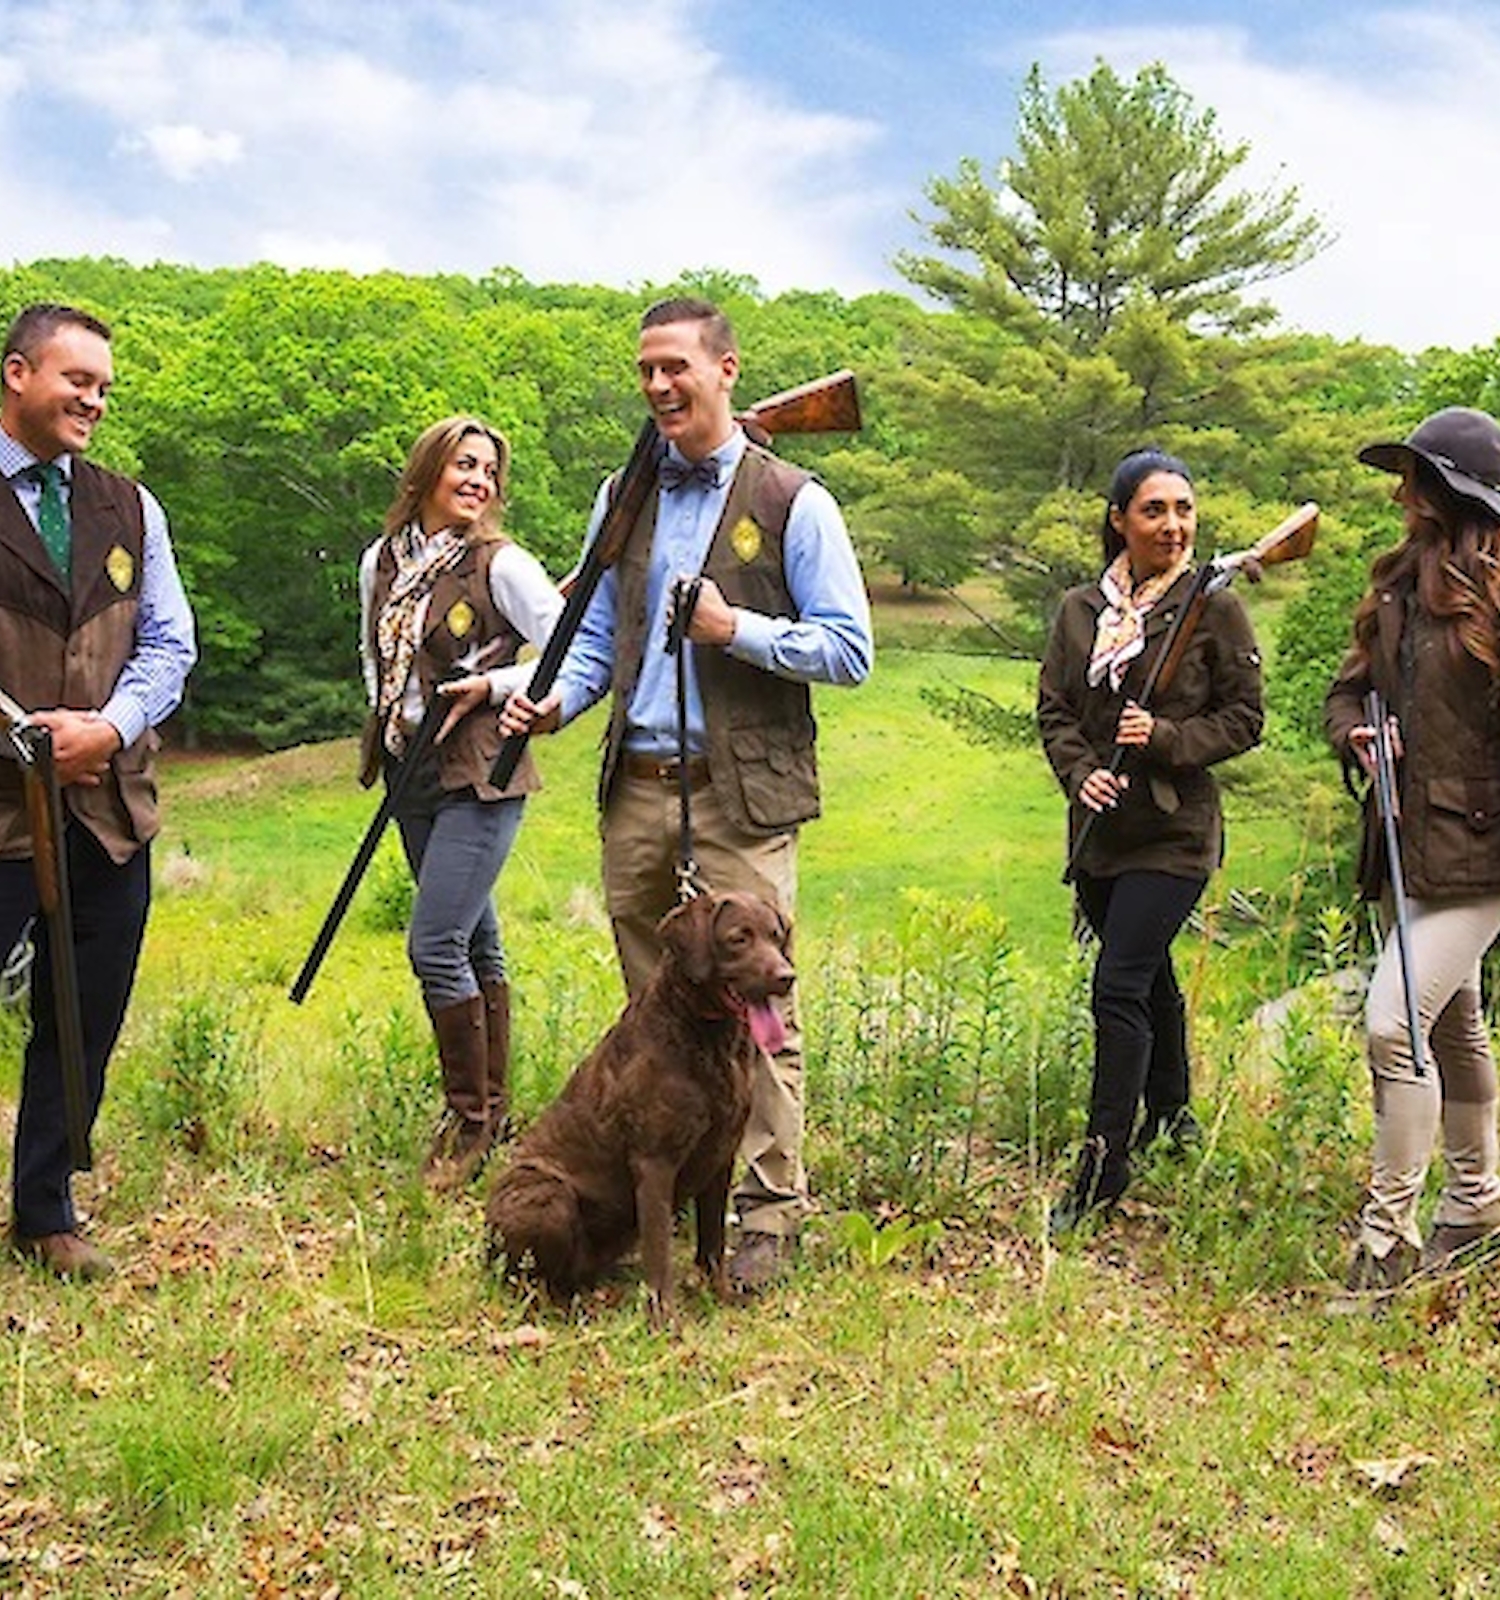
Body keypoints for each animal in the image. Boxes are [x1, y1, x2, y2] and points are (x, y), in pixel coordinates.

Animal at [489, 889, 796, 1324]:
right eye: (739, 938)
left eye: (776, 936)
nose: (787, 976)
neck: (706, 1038)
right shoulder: (655, 1163)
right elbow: (660, 1250)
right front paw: (663, 1319)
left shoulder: (721, 1157)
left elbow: (713, 1242)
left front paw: (719, 1295)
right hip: (549, 1197)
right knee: (531, 1282)